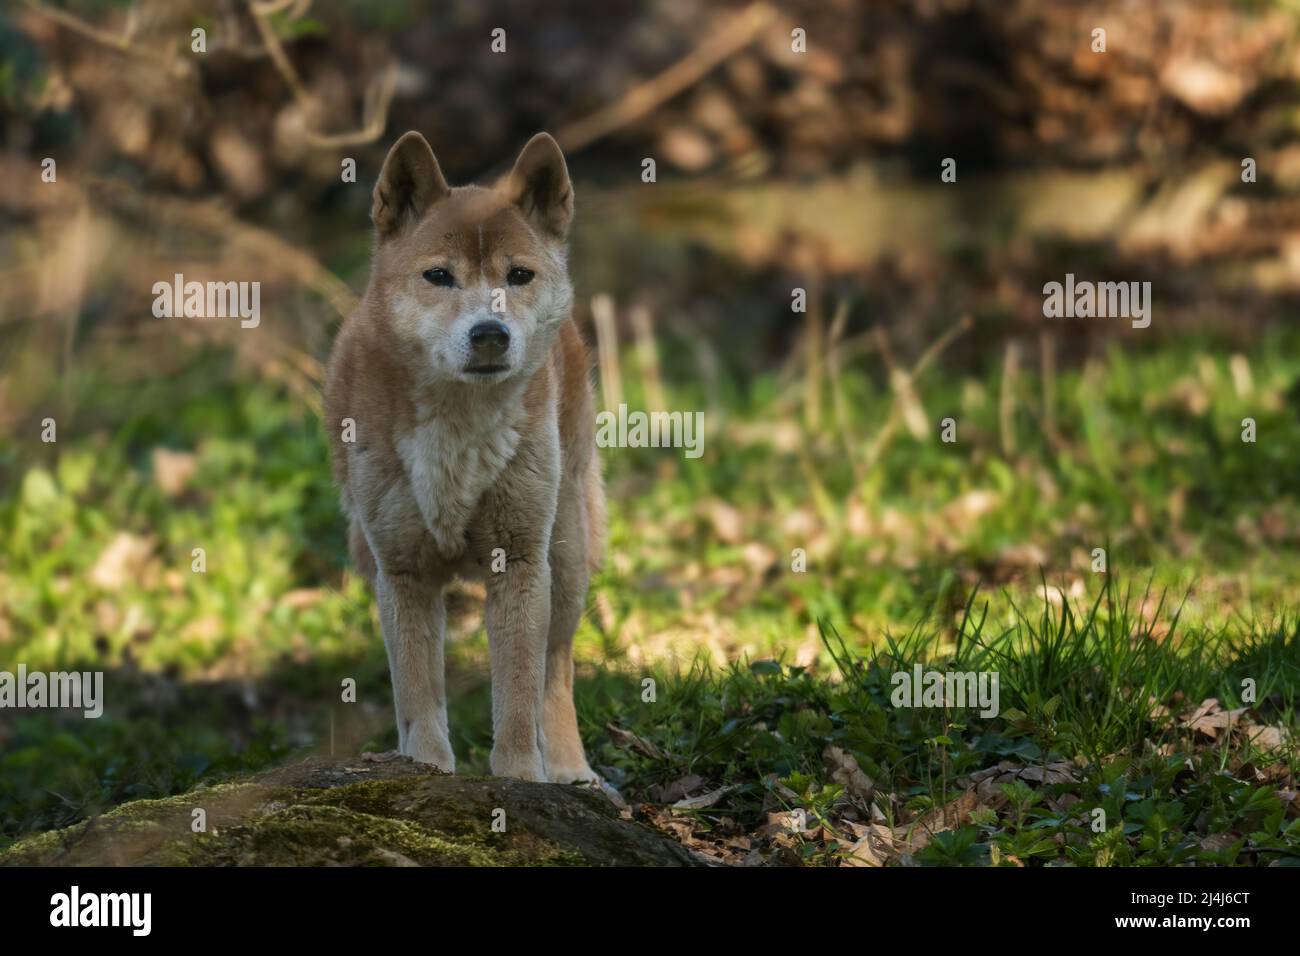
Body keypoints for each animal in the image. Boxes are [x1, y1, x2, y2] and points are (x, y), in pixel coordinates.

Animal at [325, 128, 608, 785]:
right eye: (439, 276)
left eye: (519, 275)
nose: (489, 334)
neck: (458, 424)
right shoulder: (402, 571)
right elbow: (418, 693)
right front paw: (424, 769)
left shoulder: (521, 562)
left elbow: (520, 691)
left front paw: (519, 779)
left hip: (567, 555)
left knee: (558, 671)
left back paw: (571, 769)